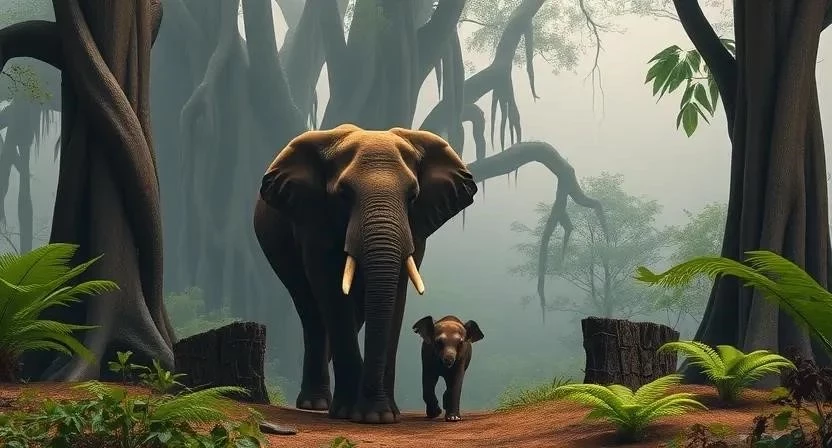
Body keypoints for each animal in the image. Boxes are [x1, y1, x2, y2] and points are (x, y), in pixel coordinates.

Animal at [253, 124, 477, 424]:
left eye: (412, 196)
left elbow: (396, 292)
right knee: (310, 309)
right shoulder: (314, 220)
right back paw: (315, 404)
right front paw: (356, 414)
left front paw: (382, 416)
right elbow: (332, 290)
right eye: (344, 195)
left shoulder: (416, 227)